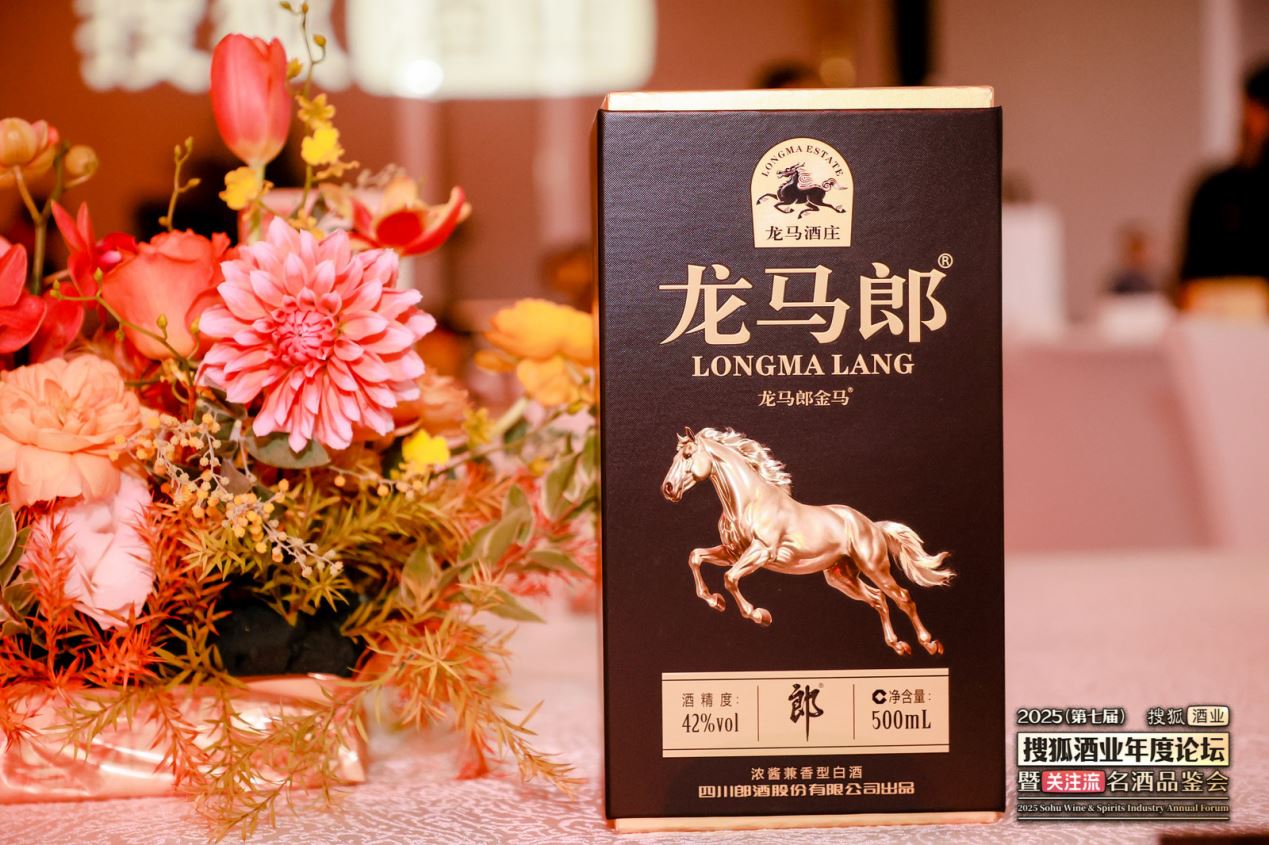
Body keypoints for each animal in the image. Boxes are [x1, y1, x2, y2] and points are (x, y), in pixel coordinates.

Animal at [660, 426, 953, 656]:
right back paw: (898, 645)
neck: (749, 502)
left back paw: (930, 644)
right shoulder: (732, 552)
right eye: (675, 456)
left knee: (903, 597)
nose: (668, 489)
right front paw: (714, 601)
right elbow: (696, 556)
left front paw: (759, 615)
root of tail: (873, 526)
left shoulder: (761, 552)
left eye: (687, 455)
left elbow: (730, 578)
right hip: (841, 577)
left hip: (875, 568)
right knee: (878, 599)